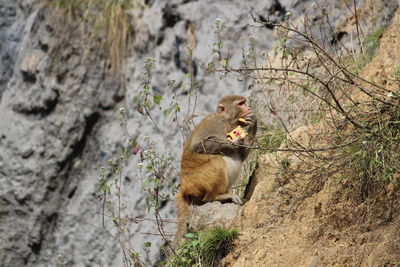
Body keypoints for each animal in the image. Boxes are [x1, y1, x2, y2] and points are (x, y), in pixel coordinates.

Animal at [174, 94, 256, 245]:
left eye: (245, 103)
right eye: (241, 104)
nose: (248, 108)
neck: (227, 121)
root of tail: (184, 188)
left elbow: (241, 155)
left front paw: (253, 123)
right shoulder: (215, 123)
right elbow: (198, 145)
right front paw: (233, 142)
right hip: (196, 181)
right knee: (217, 161)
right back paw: (217, 196)